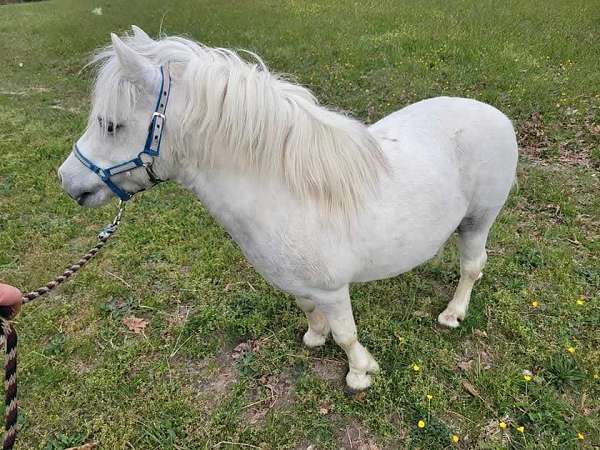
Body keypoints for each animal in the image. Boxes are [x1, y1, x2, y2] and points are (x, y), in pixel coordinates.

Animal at [62, 27, 520, 390]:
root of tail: (497, 115)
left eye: (110, 125)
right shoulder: (296, 281)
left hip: (478, 220)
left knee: (471, 267)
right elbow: (308, 309)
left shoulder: (334, 289)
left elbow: (346, 334)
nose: (67, 181)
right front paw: (314, 338)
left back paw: (453, 314)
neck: (285, 193)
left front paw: (360, 373)